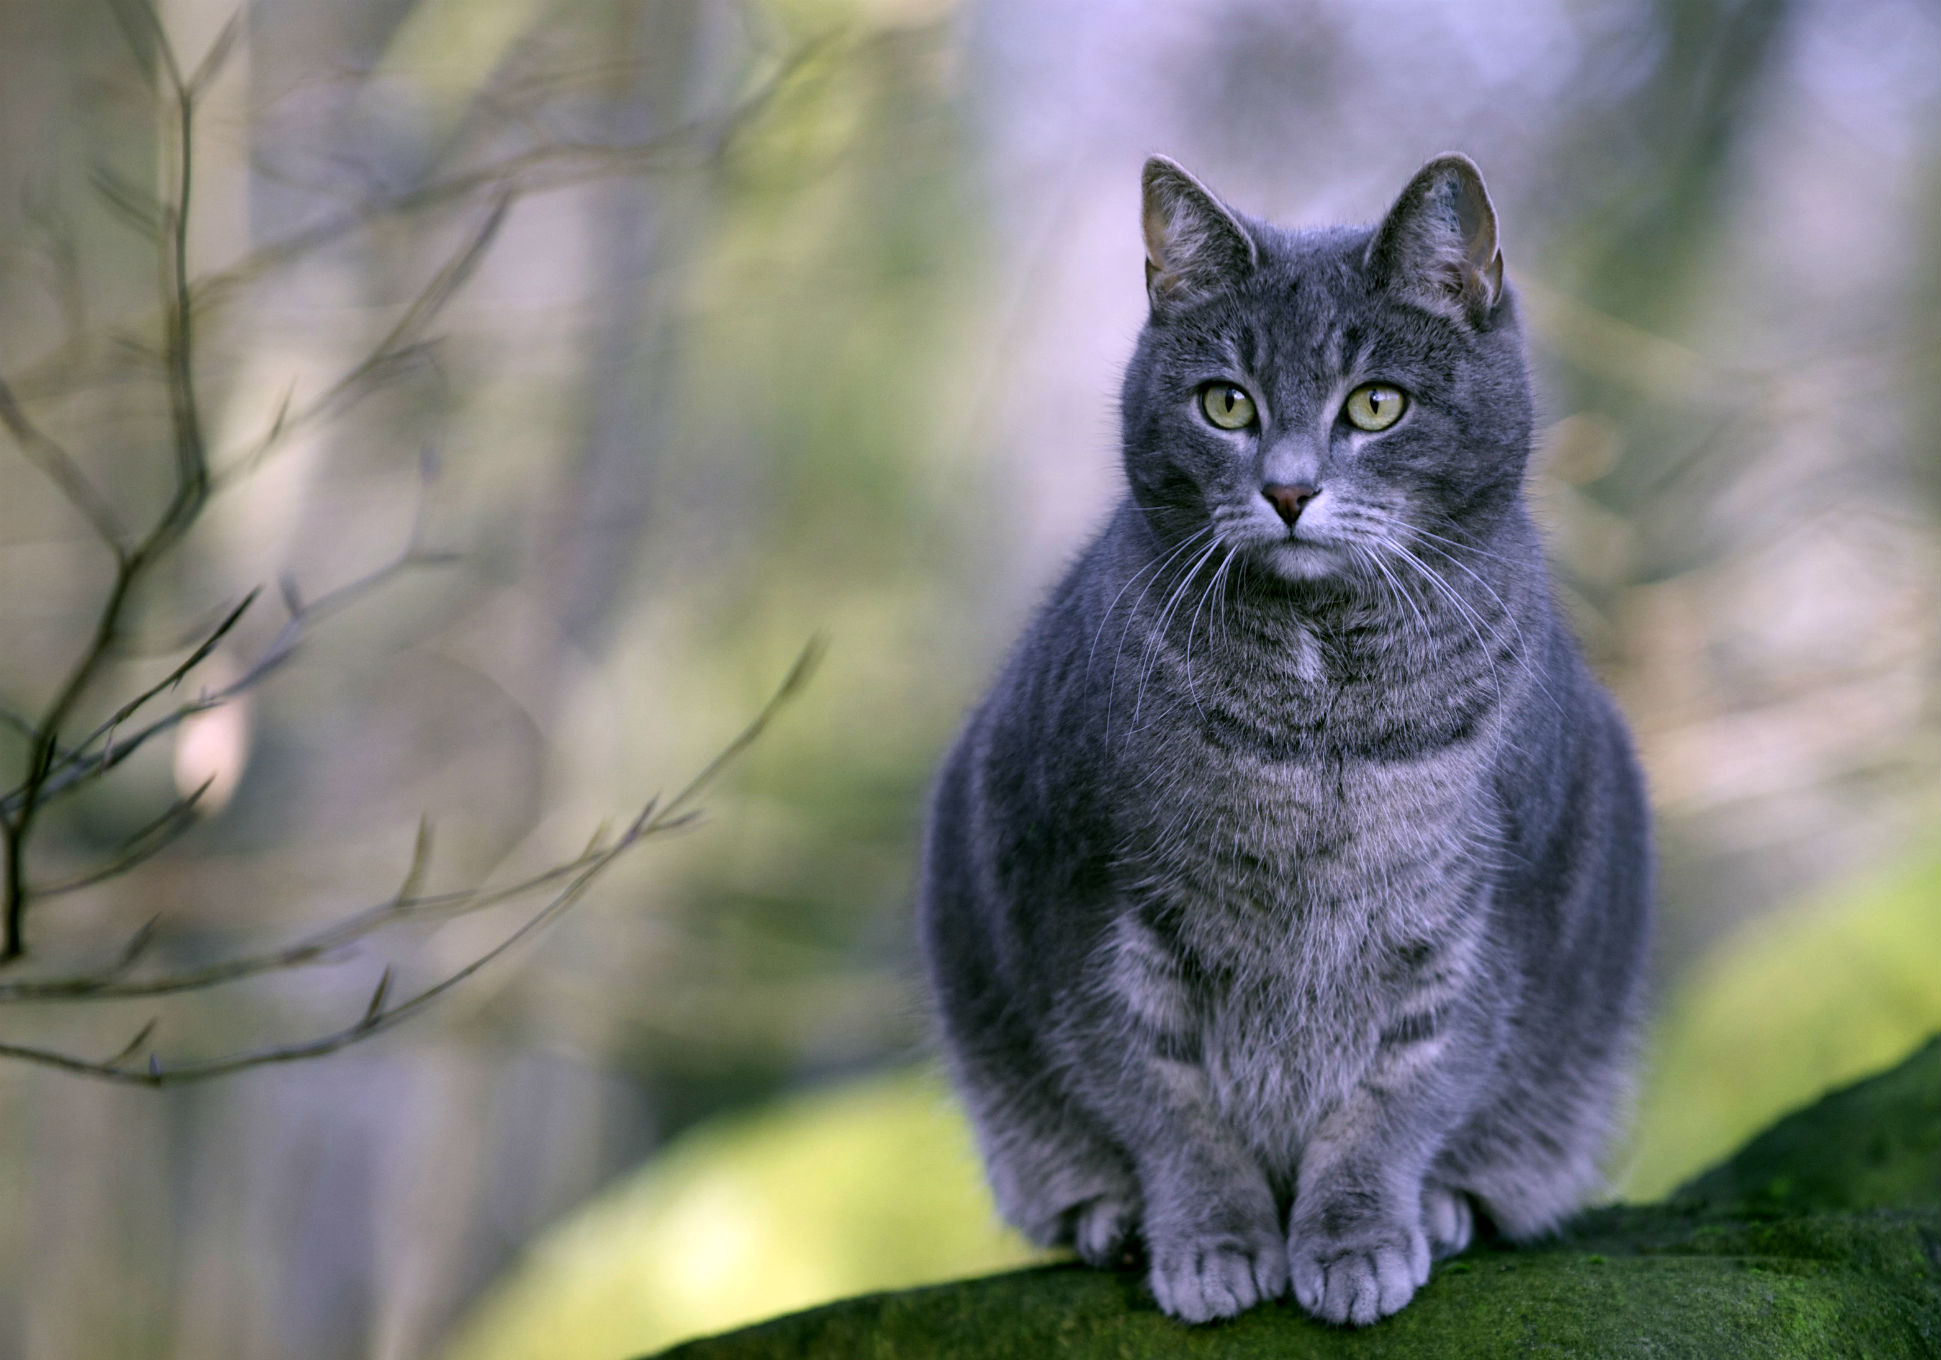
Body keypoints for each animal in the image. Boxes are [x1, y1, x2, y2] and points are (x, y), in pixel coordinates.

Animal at [916, 151, 1645, 1327]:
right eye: (1226, 403)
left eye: (1377, 403)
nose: (1291, 488)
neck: (1319, 715)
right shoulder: (1091, 913)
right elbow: (1164, 1105)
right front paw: (1213, 1242)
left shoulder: (1478, 930)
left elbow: (1398, 1103)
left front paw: (1356, 1239)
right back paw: (1112, 1221)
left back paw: (1448, 1209)